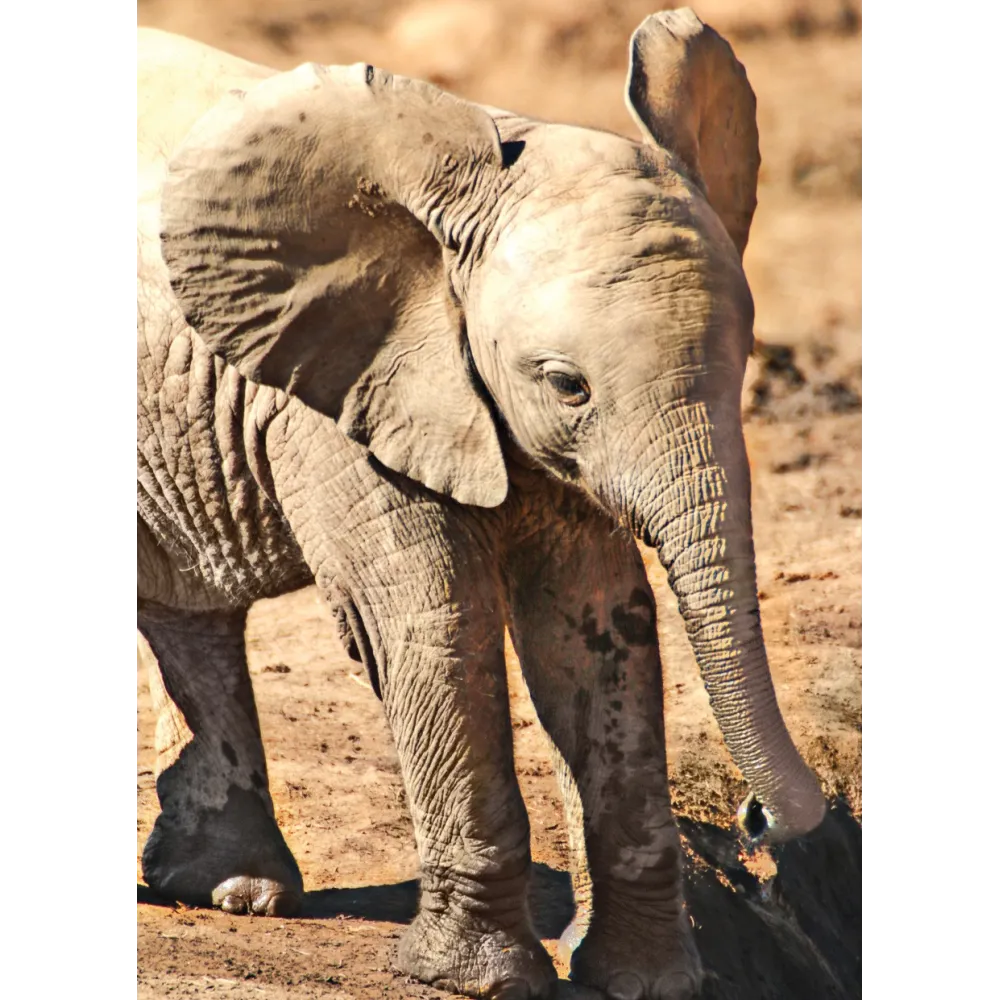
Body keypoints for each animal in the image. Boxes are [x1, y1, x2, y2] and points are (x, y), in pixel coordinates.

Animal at [136, 9, 827, 1000]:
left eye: (742, 371)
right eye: (568, 384)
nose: (758, 820)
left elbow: (595, 620)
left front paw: (643, 983)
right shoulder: (341, 389)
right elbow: (433, 610)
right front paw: (477, 980)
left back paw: (234, 892)